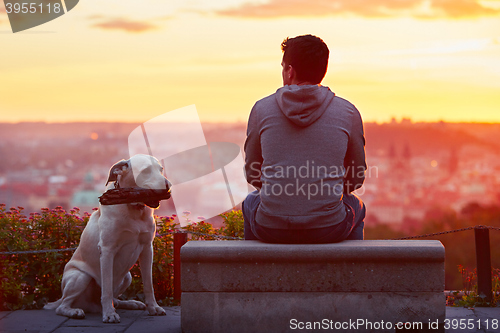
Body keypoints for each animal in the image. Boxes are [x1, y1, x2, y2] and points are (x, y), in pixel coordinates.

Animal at [43, 154, 168, 322]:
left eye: (161, 169)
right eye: (146, 170)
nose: (168, 186)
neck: (133, 208)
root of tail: (92, 305)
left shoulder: (148, 248)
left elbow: (148, 284)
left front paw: (153, 307)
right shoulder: (107, 250)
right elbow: (107, 288)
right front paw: (109, 314)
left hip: (127, 276)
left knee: (115, 299)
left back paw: (131, 303)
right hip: (80, 277)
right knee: (63, 305)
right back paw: (74, 311)